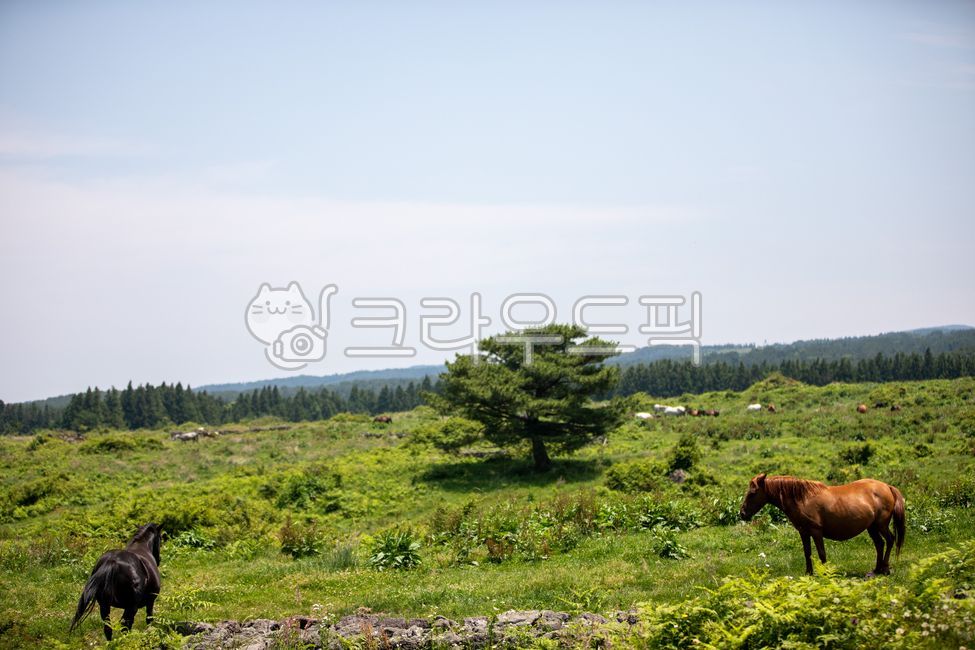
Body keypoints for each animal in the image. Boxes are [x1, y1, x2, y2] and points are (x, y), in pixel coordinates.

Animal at [739, 474, 905, 576]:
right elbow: (807, 553)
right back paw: (876, 569)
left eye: (752, 493)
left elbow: (821, 553)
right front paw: (809, 573)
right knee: (880, 544)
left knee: (890, 540)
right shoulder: (804, 532)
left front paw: (825, 573)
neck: (802, 498)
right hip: (872, 527)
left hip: (881, 525)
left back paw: (885, 569)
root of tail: (887, 487)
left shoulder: (816, 531)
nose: (742, 513)